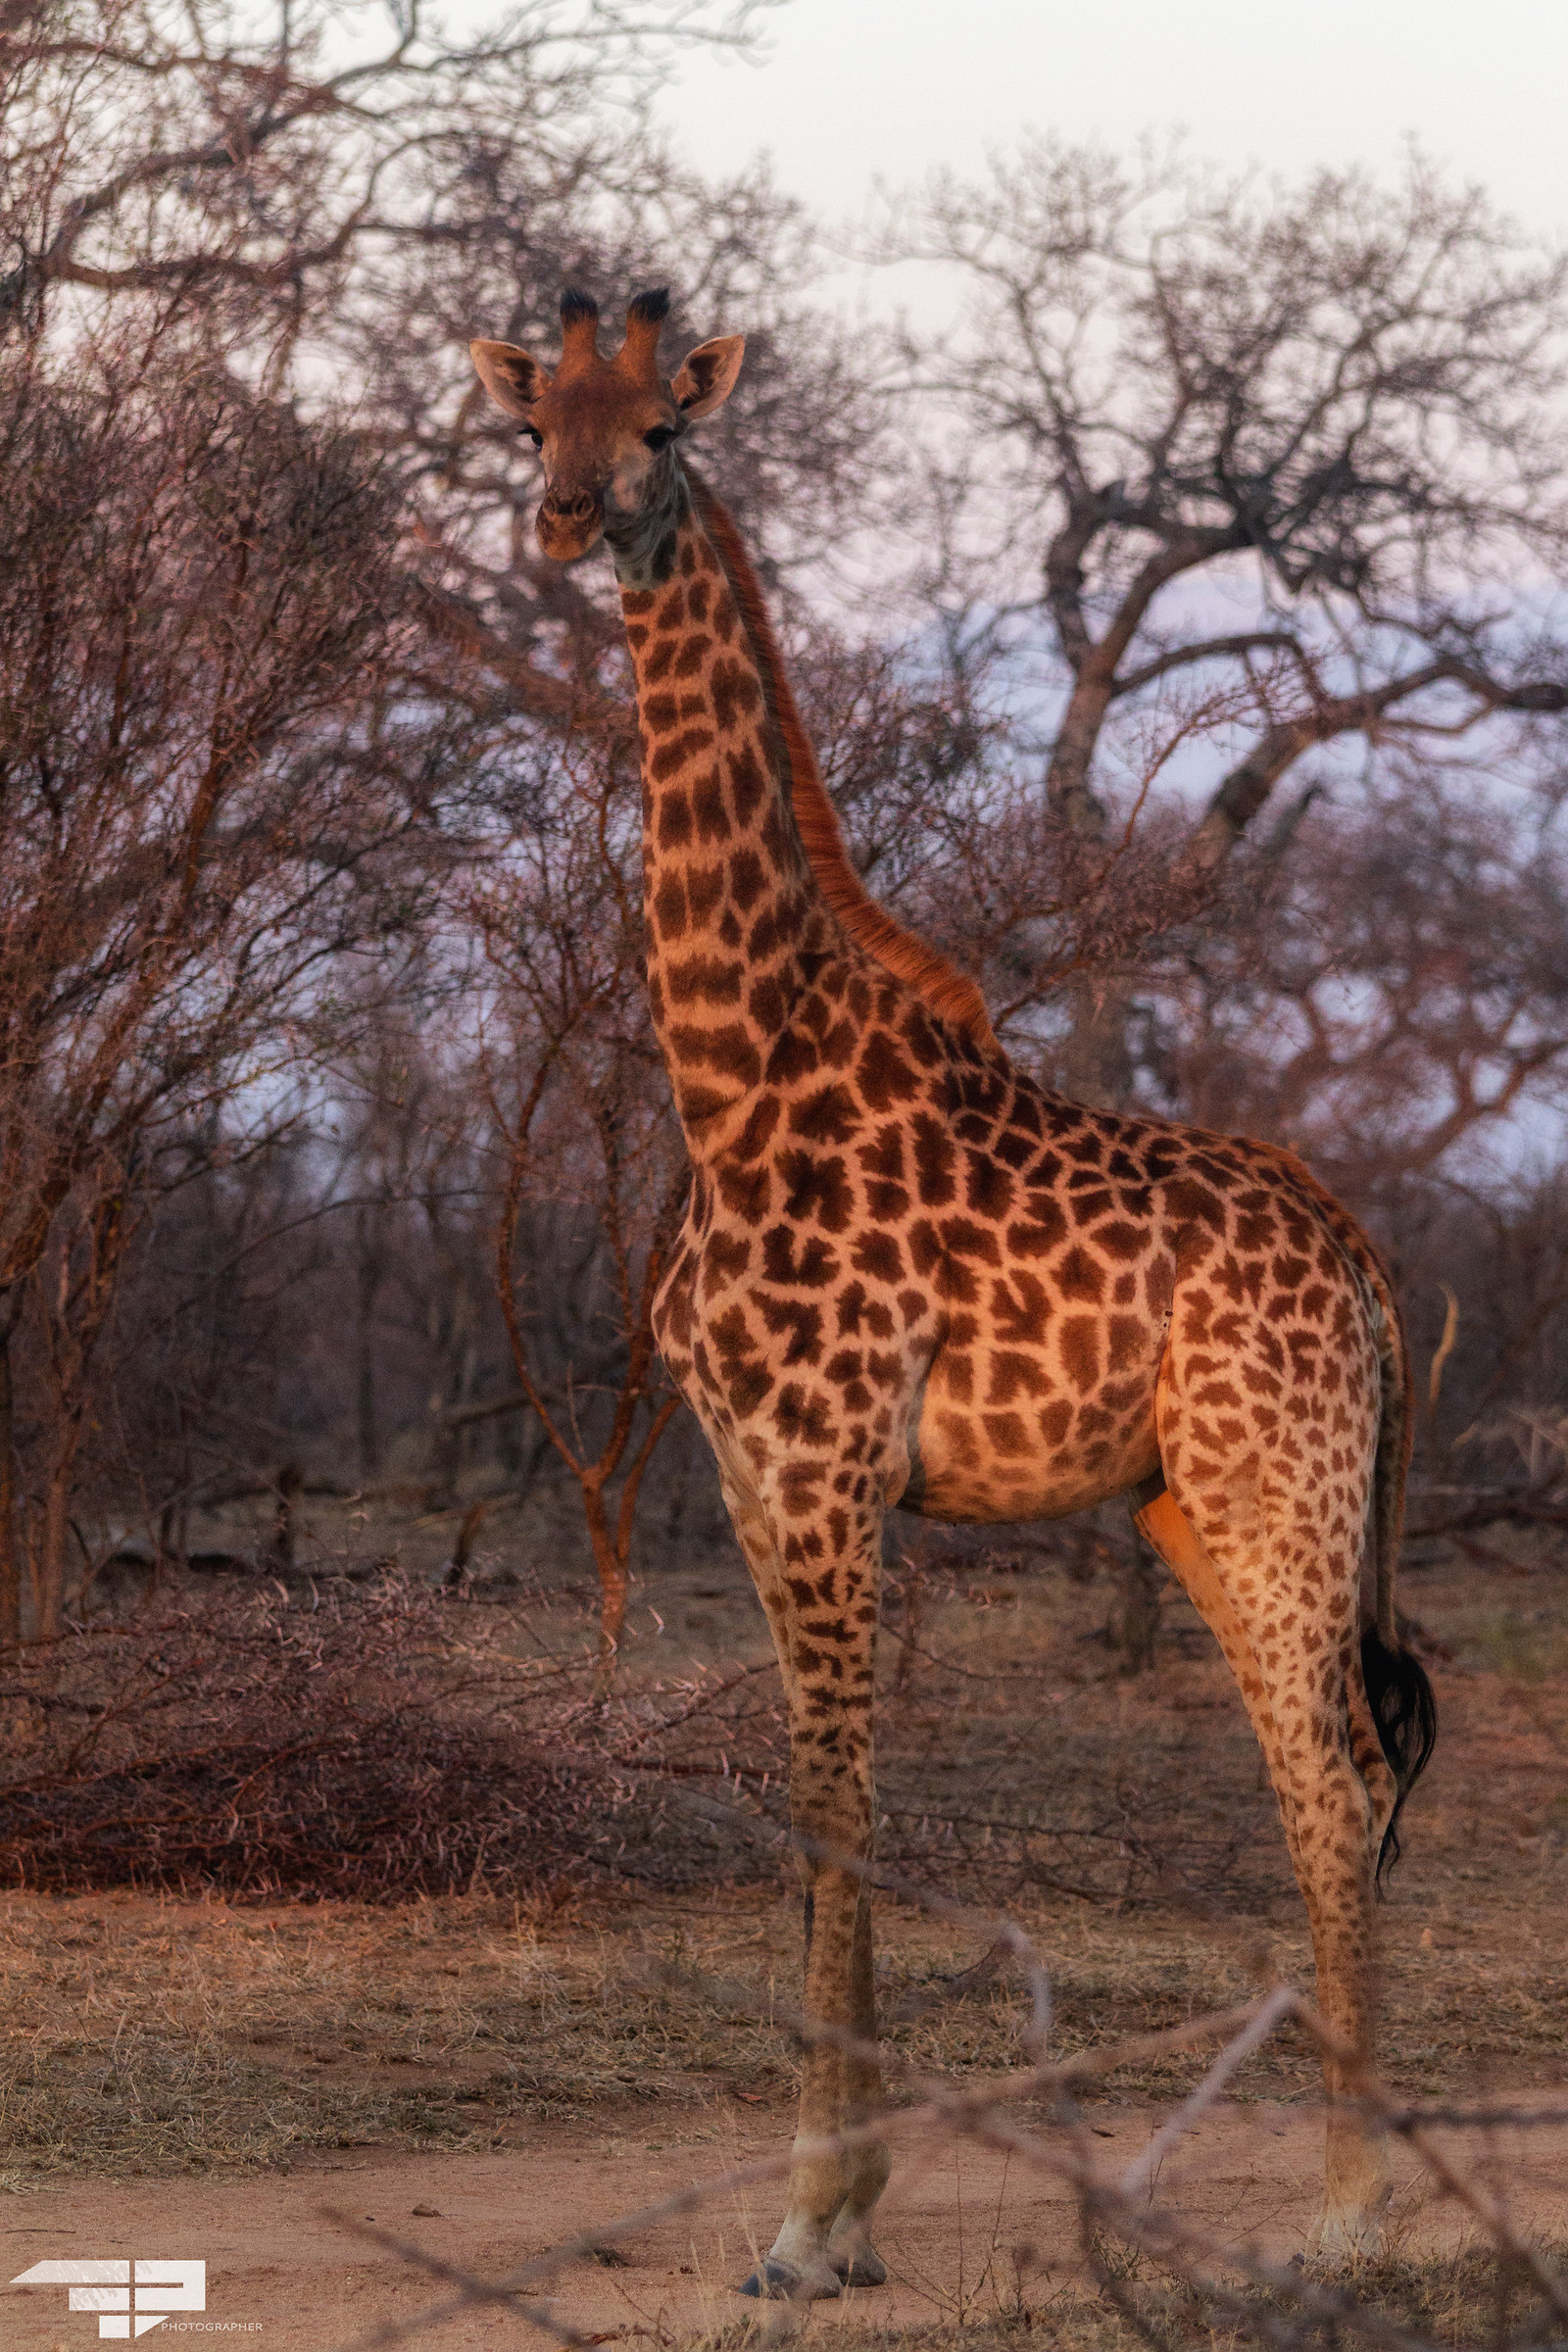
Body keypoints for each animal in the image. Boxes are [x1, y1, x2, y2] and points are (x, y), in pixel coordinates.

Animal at [470, 288, 1437, 2296]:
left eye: (663, 430)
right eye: (535, 426)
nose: (568, 519)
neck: (734, 1065)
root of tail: (1367, 1263)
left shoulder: (826, 1467)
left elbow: (840, 1803)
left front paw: (807, 2226)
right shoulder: (746, 1474)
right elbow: (819, 1801)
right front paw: (834, 2214)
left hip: (1277, 1488)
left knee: (1333, 1779)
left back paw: (1346, 2212)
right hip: (1194, 1507)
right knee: (1339, 1773)